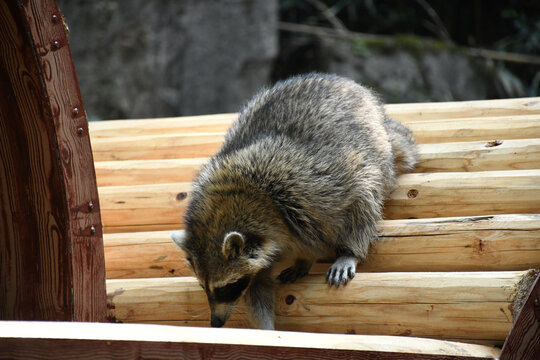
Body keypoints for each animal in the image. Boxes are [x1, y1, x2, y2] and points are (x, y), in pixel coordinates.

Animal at [171, 72, 416, 330]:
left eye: (227, 287)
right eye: (203, 286)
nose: (216, 323)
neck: (246, 196)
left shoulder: (312, 192)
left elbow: (355, 200)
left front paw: (342, 252)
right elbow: (258, 287)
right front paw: (266, 326)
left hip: (375, 149)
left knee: (366, 195)